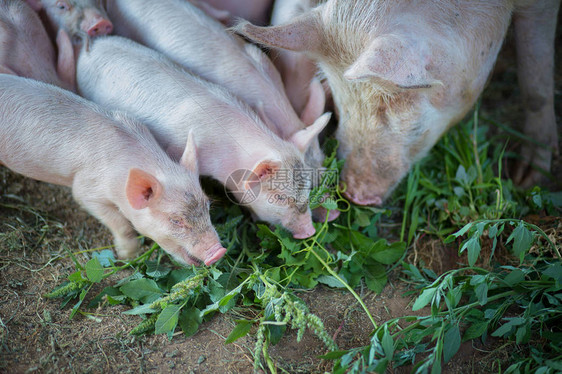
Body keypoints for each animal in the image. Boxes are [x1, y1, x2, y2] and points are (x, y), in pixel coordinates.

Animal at [0, 74, 223, 266]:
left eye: (208, 206)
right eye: (176, 220)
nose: (219, 251)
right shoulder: (86, 190)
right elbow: (120, 223)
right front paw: (128, 256)